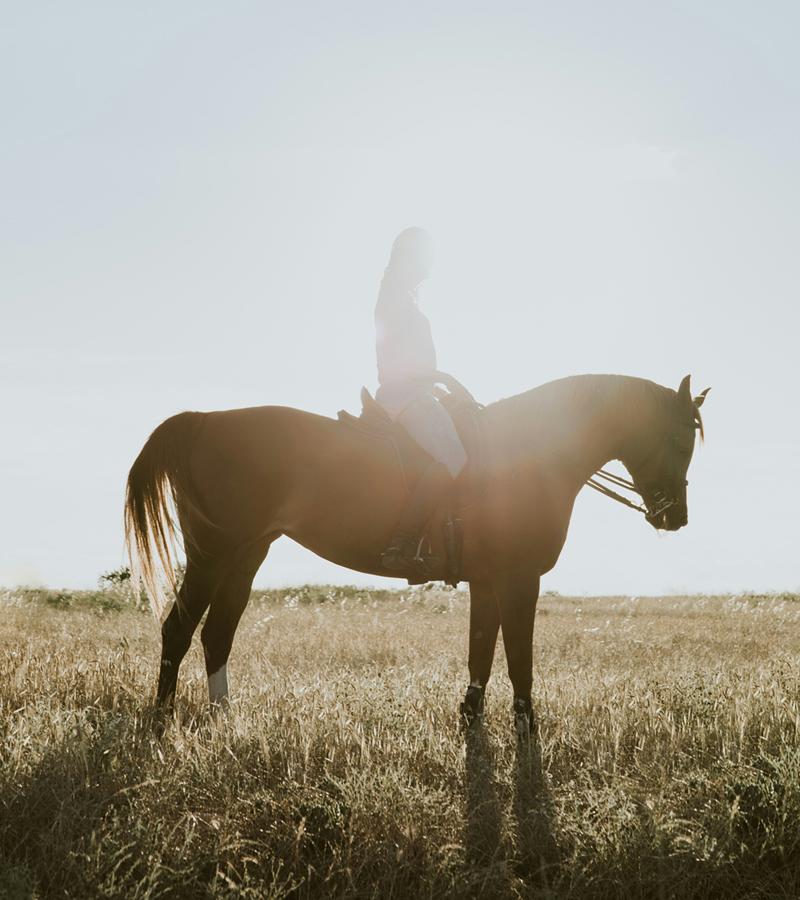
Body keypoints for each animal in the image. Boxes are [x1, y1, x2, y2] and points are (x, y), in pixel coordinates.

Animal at [124, 373, 708, 735]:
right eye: (683, 442)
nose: (674, 517)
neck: (528, 454)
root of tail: (204, 419)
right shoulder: (519, 579)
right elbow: (519, 661)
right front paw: (527, 732)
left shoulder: (488, 581)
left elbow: (481, 653)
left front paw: (471, 722)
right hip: (212, 554)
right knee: (178, 629)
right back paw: (162, 720)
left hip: (245, 555)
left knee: (217, 633)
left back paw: (224, 720)